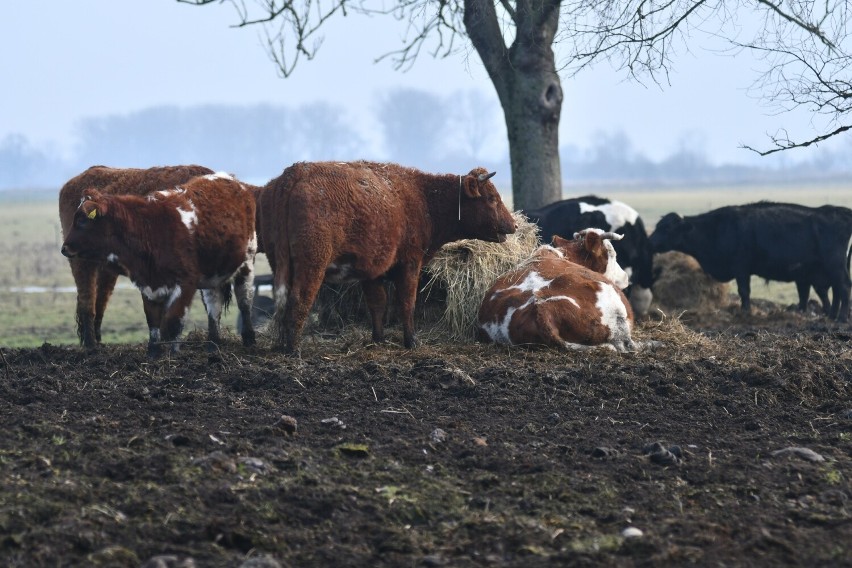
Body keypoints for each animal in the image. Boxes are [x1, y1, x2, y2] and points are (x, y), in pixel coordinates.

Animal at [60, 173, 256, 358]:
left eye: (82, 220)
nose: (64, 248)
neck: (150, 229)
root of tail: (228, 178)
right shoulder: (148, 284)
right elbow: (154, 321)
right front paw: (154, 352)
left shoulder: (185, 283)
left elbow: (173, 321)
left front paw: (172, 354)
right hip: (212, 275)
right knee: (214, 307)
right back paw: (213, 345)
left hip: (246, 263)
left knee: (244, 301)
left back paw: (249, 339)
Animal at [256, 160, 516, 356]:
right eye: (491, 198)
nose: (513, 225)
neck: (422, 197)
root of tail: (294, 175)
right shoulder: (410, 265)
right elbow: (406, 303)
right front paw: (411, 341)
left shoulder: (372, 272)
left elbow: (377, 304)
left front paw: (378, 339)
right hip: (312, 266)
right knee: (299, 299)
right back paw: (292, 348)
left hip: (281, 264)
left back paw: (281, 344)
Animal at [644, 203, 852, 320]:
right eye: (659, 225)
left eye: (667, 228)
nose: (649, 242)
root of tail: (838, 211)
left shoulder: (741, 268)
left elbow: (744, 291)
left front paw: (745, 312)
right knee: (836, 290)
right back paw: (832, 315)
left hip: (834, 265)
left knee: (843, 288)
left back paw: (841, 317)